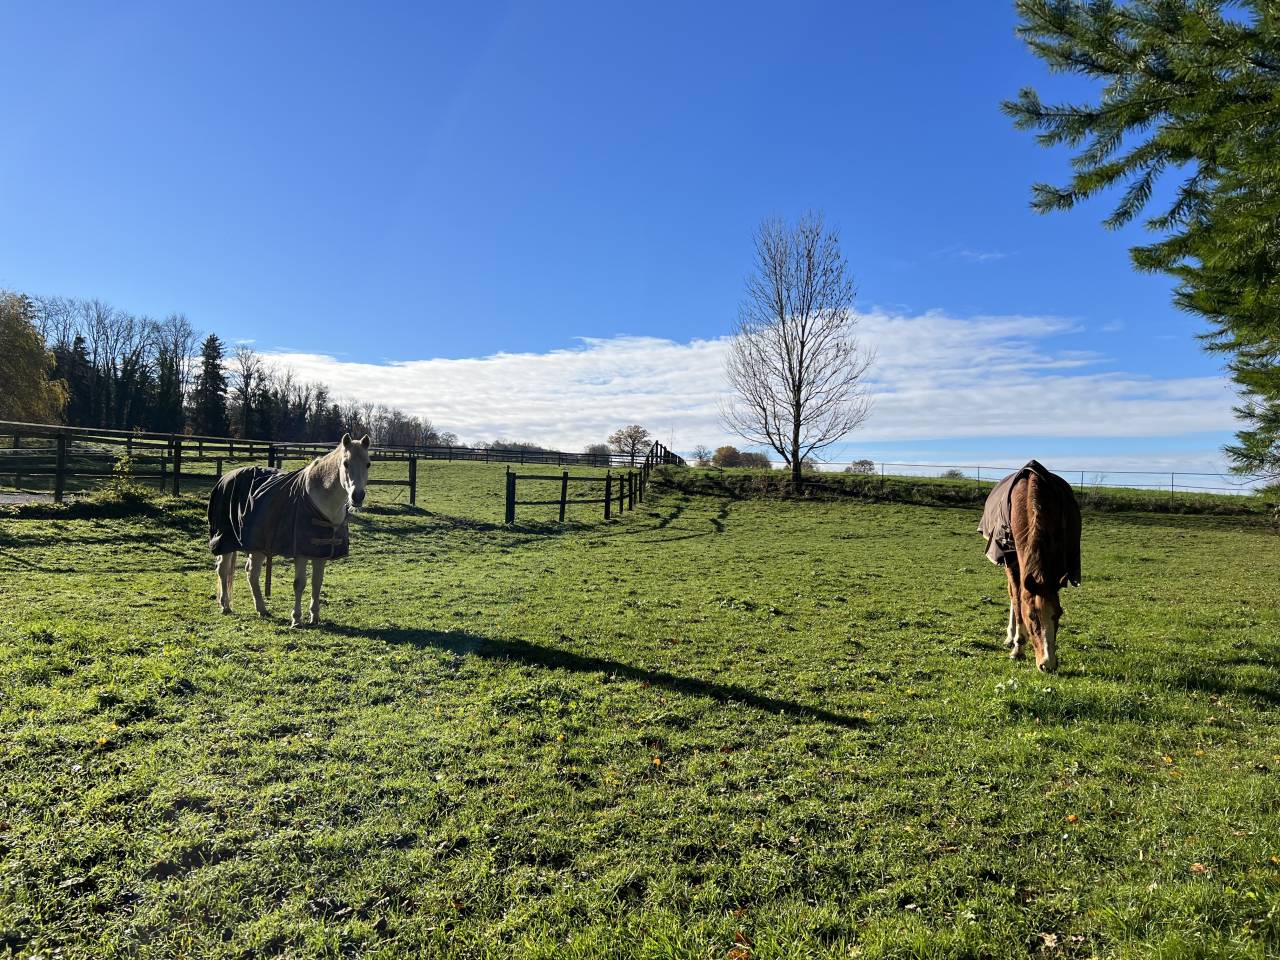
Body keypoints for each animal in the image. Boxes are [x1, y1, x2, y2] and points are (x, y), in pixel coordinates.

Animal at [208, 433, 371, 627]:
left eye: (368, 464)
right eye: (346, 463)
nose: (357, 496)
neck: (322, 501)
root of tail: (225, 478)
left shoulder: (320, 552)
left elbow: (317, 583)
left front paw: (315, 617)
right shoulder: (300, 551)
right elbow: (299, 583)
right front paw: (296, 619)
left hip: (257, 546)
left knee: (251, 573)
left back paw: (262, 610)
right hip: (226, 541)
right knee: (223, 569)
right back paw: (225, 606)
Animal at [979, 460, 1081, 672]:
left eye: (1059, 614)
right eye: (1032, 616)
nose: (1047, 664)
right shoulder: (1011, 560)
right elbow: (1018, 600)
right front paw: (1018, 648)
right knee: (1012, 594)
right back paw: (1011, 637)